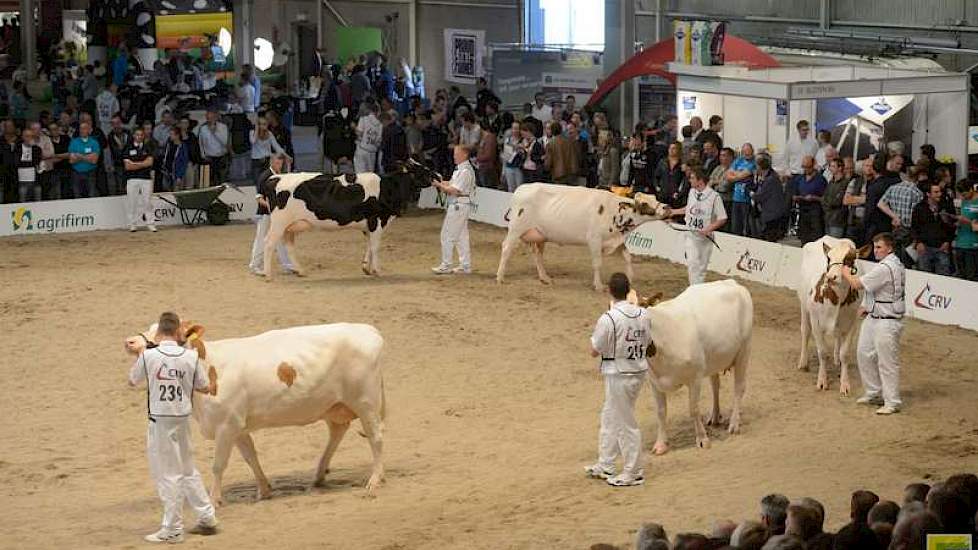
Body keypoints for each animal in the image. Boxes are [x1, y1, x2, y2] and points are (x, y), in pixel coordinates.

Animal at [126, 324, 388, 508]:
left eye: (164, 332)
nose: (130, 341)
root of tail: (368, 329)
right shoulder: (238, 427)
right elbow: (251, 458)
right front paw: (264, 490)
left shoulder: (226, 425)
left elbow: (218, 465)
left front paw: (214, 499)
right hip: (334, 405)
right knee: (337, 431)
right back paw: (318, 476)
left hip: (366, 402)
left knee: (376, 438)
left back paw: (375, 480)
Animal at [496, 184, 672, 292]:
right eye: (644, 204)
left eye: (655, 198)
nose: (666, 207)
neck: (614, 211)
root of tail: (522, 188)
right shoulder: (594, 239)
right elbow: (597, 264)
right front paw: (599, 286)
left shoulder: (617, 240)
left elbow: (628, 258)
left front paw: (629, 277)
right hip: (516, 228)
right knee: (506, 249)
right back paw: (500, 277)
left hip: (540, 236)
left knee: (537, 255)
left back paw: (545, 278)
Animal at [628, 280, 752, 458]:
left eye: (641, 308)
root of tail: (731, 282)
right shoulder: (654, 382)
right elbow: (661, 412)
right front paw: (660, 444)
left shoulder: (695, 378)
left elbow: (693, 409)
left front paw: (702, 439)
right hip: (713, 358)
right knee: (715, 386)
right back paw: (715, 416)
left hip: (744, 350)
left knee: (739, 388)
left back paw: (734, 424)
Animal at [792, 237, 868, 396]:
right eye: (829, 258)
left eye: (849, 259)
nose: (831, 277)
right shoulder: (816, 321)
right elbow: (822, 352)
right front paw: (822, 381)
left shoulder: (852, 323)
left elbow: (845, 353)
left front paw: (845, 384)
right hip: (804, 306)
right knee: (805, 331)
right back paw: (803, 362)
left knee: (838, 337)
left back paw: (836, 360)